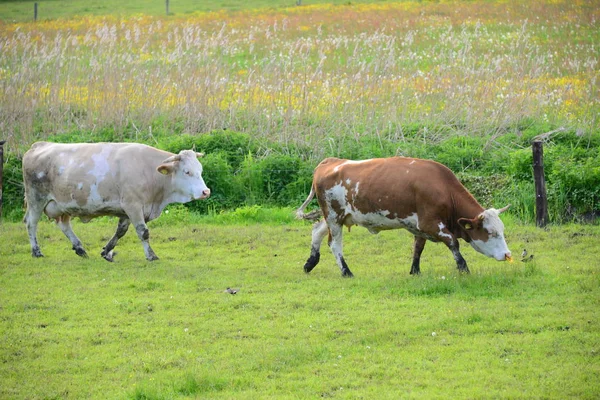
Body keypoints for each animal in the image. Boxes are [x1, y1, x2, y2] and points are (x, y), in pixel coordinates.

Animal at [22, 142, 211, 260]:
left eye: (200, 170)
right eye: (187, 172)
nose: (206, 191)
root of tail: (39, 145)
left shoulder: (127, 210)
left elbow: (121, 231)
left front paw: (107, 251)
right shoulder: (132, 205)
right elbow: (143, 232)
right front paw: (151, 255)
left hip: (63, 204)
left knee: (64, 225)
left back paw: (80, 248)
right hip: (36, 199)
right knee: (31, 223)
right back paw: (36, 251)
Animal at [298, 157, 512, 278]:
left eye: (502, 231)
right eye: (491, 233)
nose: (507, 255)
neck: (443, 188)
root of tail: (330, 162)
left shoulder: (419, 226)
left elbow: (418, 247)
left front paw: (415, 271)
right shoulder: (430, 224)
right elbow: (453, 243)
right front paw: (463, 269)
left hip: (337, 217)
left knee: (316, 230)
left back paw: (310, 262)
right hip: (334, 217)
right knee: (335, 244)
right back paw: (346, 272)